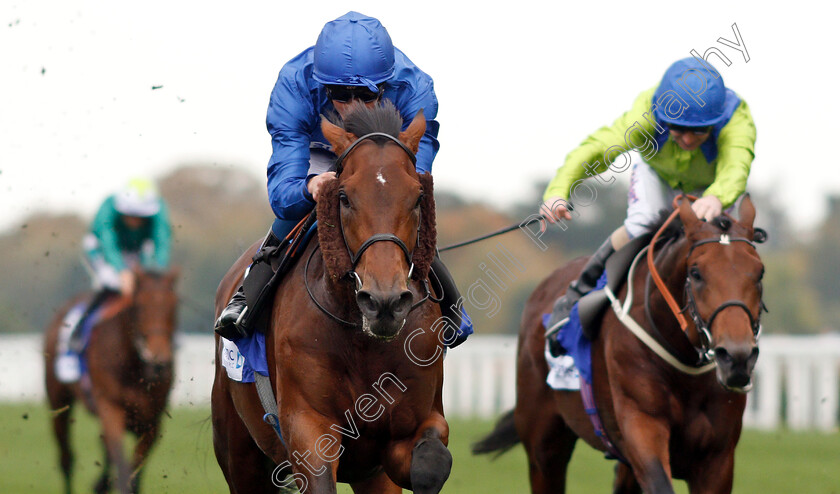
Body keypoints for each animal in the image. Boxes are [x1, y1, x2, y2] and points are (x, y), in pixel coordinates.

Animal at [44, 268, 179, 494]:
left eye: (174, 305)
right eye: (139, 305)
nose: (158, 360)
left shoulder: (151, 422)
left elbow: (134, 474)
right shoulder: (111, 409)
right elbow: (123, 471)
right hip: (59, 401)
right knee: (66, 459)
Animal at [213, 102, 456, 492]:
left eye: (418, 197)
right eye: (343, 197)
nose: (384, 302)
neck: (364, 341)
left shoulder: (411, 428)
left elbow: (431, 463)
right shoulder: (308, 426)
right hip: (239, 453)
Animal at [476, 195, 764, 492]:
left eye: (760, 273)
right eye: (696, 273)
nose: (736, 357)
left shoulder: (717, 458)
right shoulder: (641, 425)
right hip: (543, 447)